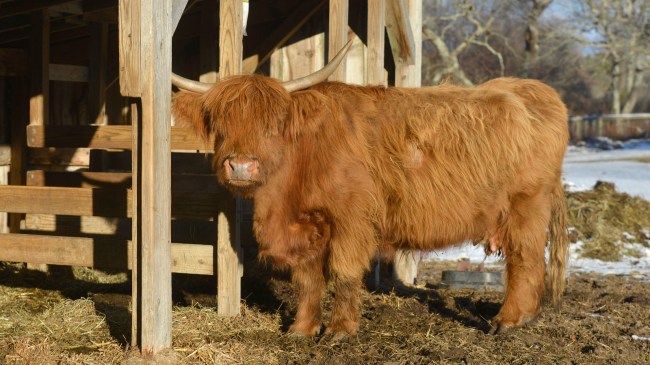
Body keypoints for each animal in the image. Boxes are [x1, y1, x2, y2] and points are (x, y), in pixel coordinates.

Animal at [171, 50, 568, 336]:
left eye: (275, 124)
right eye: (220, 122)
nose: (241, 166)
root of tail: (532, 89)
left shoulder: (352, 218)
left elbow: (344, 272)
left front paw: (340, 330)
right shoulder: (303, 226)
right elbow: (307, 279)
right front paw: (302, 329)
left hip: (526, 205)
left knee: (525, 260)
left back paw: (508, 321)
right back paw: (526, 316)